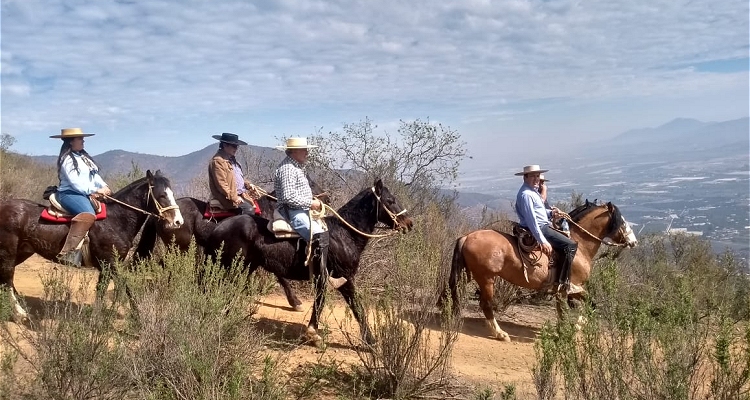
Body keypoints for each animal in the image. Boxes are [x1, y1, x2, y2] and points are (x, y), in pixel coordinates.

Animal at [0, 170, 184, 320]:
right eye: (161, 195)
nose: (178, 221)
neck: (116, 219)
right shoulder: (111, 263)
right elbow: (125, 287)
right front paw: (137, 317)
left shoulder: (107, 266)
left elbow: (102, 290)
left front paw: (95, 318)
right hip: (8, 251)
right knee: (7, 277)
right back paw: (20, 313)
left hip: (23, 251)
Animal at [137, 177, 330, 310]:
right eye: (308, 183)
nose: (327, 198)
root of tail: (161, 214)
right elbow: (280, 275)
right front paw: (295, 301)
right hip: (179, 248)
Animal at [206, 180, 418, 346]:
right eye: (390, 201)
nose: (409, 223)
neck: (345, 235)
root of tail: (217, 228)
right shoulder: (343, 278)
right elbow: (355, 306)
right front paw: (370, 340)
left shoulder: (325, 279)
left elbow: (322, 302)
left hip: (245, 268)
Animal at [444, 202, 636, 342]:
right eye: (622, 221)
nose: (633, 241)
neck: (580, 246)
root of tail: (467, 236)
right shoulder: (570, 287)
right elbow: (582, 306)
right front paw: (573, 328)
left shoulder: (568, 290)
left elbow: (575, 308)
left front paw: (567, 329)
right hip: (486, 278)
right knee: (486, 304)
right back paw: (500, 334)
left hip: (472, 276)